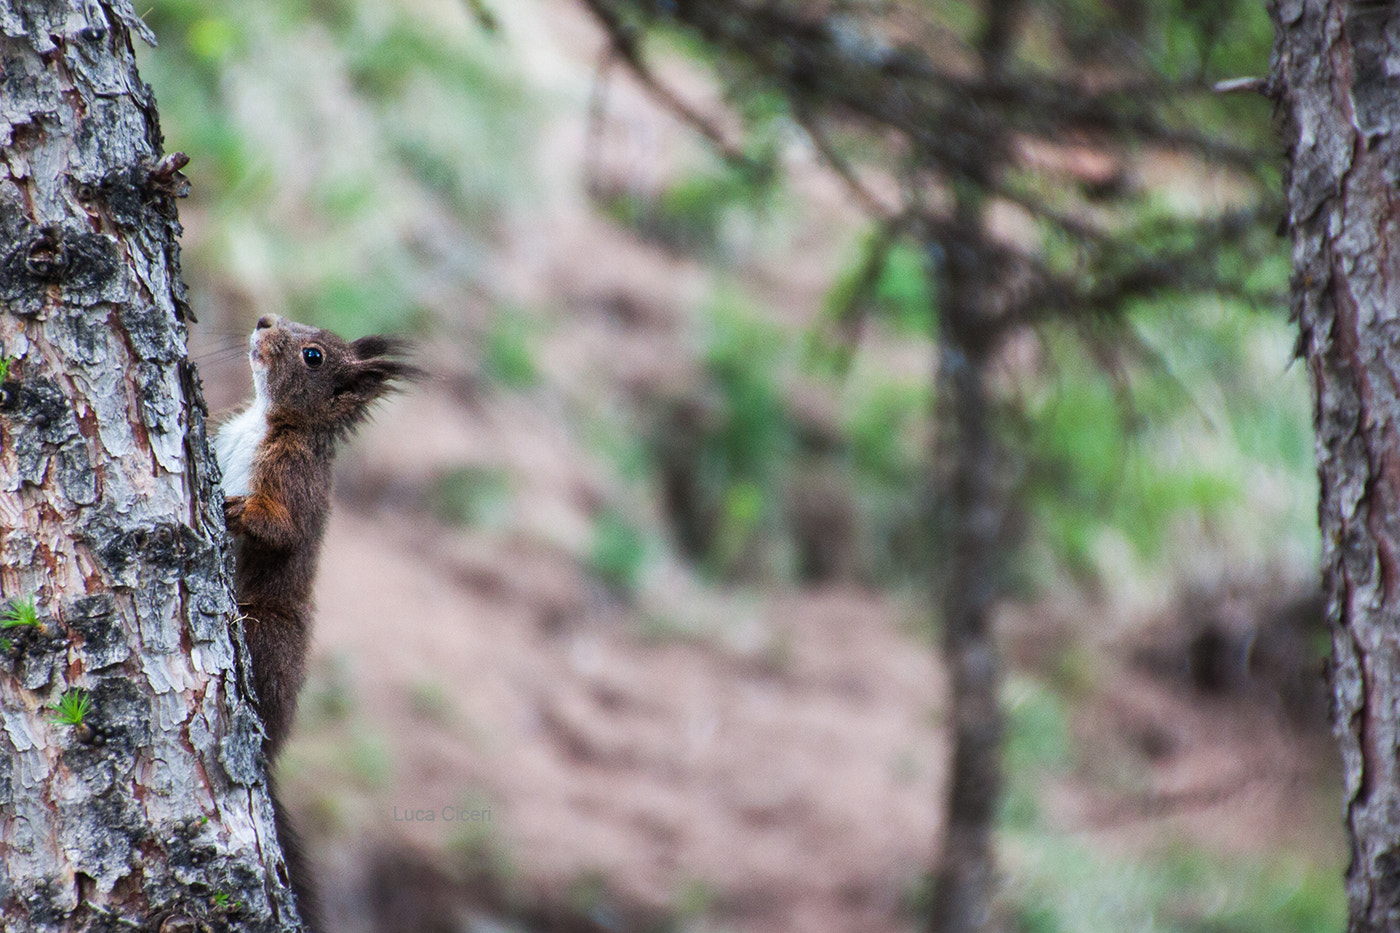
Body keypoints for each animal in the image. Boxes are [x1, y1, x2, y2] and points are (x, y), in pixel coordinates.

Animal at [213, 313, 418, 928]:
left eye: (313, 357)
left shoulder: (294, 479)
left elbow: (281, 530)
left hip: (266, 632)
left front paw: (236, 511)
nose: (264, 320)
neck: (266, 420)